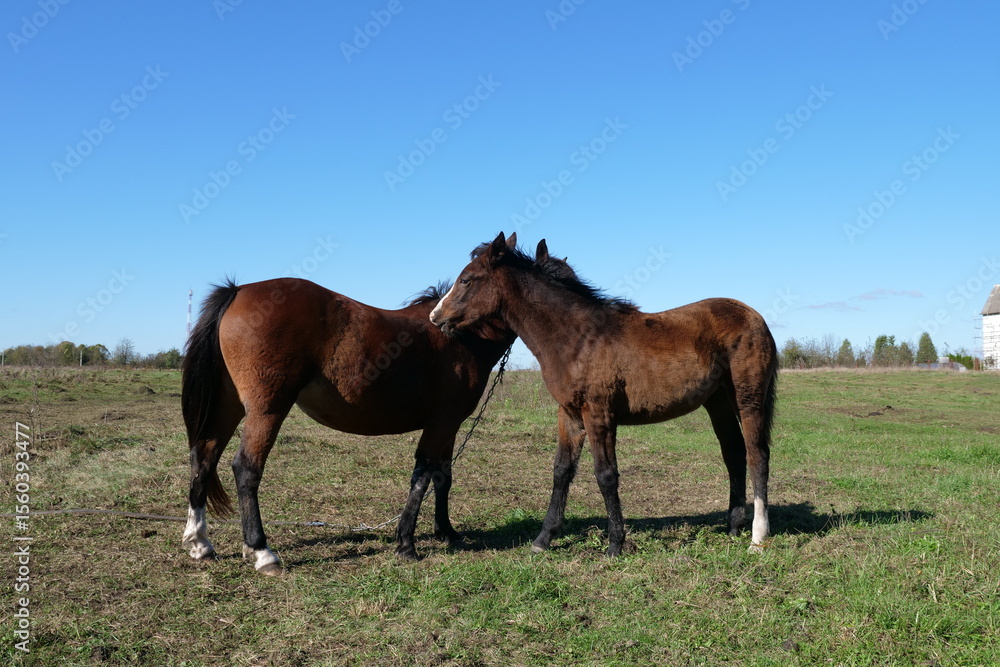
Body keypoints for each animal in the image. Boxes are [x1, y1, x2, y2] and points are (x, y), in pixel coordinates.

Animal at [181, 271, 515, 574]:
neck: (462, 337)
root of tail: (238, 290)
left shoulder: (446, 427)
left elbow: (443, 478)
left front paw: (446, 532)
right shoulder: (444, 424)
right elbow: (428, 477)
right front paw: (412, 543)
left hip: (228, 407)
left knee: (204, 458)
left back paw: (200, 543)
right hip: (267, 411)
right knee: (246, 468)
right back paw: (262, 552)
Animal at [429, 232, 778, 556]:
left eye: (466, 279)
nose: (435, 316)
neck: (578, 338)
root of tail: (755, 317)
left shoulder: (599, 414)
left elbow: (606, 475)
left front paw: (614, 544)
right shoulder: (569, 415)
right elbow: (561, 470)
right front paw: (543, 539)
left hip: (748, 399)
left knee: (757, 455)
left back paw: (758, 538)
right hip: (718, 402)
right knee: (734, 453)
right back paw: (733, 527)